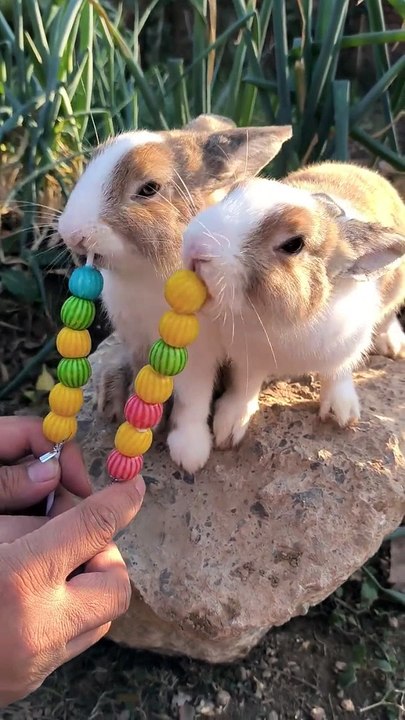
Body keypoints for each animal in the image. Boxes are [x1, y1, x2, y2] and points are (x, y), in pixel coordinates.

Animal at [173, 161, 405, 470]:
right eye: (233, 193)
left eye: (293, 244)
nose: (197, 247)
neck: (279, 323)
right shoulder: (248, 360)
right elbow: (244, 386)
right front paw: (230, 428)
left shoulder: (345, 347)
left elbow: (338, 374)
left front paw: (342, 414)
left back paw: (393, 344)